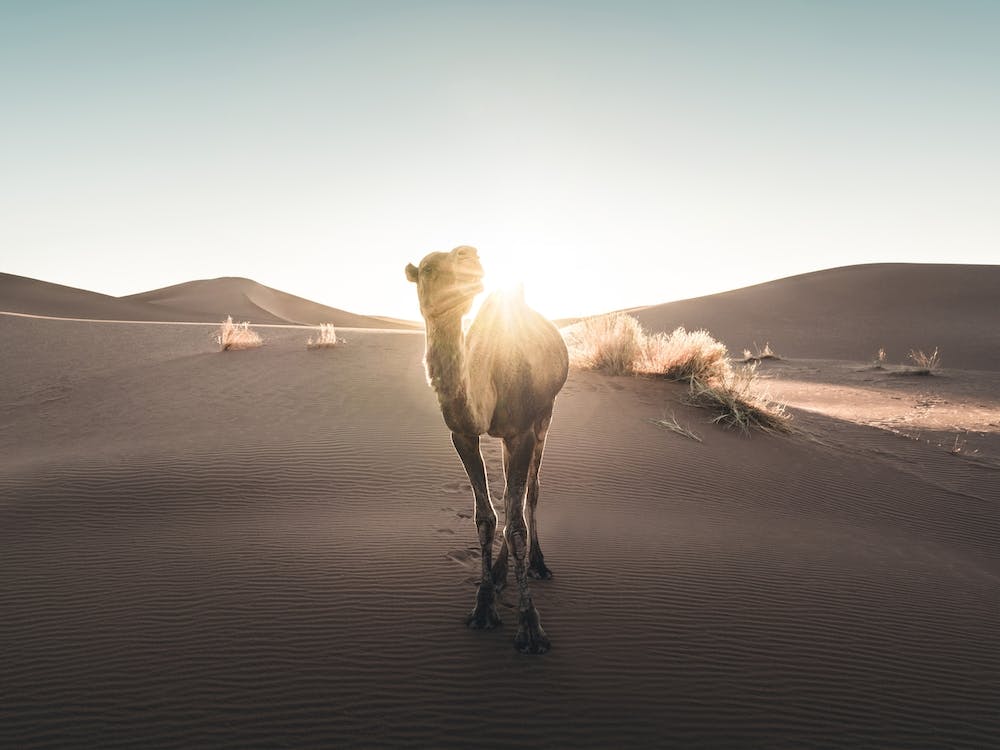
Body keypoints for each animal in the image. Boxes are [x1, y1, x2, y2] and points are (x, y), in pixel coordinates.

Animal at [405, 246, 569, 653]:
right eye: (428, 268)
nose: (469, 254)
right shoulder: (463, 434)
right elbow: (485, 518)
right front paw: (483, 606)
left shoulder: (522, 432)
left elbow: (517, 524)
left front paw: (530, 626)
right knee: (512, 498)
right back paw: (498, 574)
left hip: (546, 412)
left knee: (531, 492)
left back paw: (537, 564)